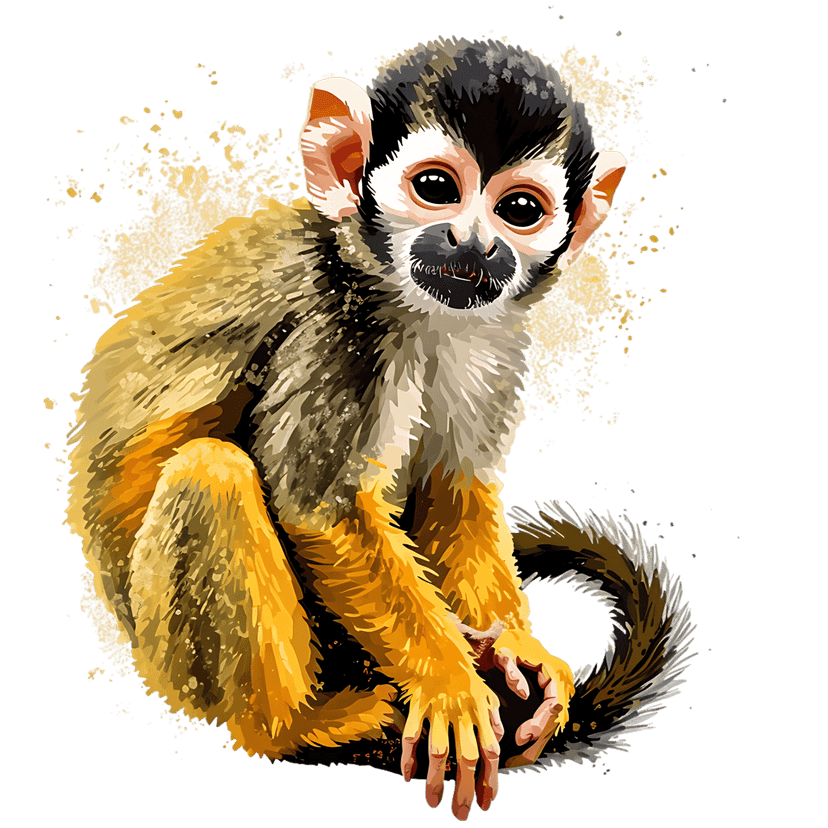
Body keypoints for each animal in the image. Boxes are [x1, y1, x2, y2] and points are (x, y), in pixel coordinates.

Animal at [67, 37, 691, 821]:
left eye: (519, 209)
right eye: (436, 188)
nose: (472, 243)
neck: (405, 301)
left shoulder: (490, 338)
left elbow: (458, 488)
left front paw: (518, 653)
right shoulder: (340, 331)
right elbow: (318, 507)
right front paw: (450, 686)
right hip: (170, 661)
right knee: (211, 472)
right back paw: (294, 728)